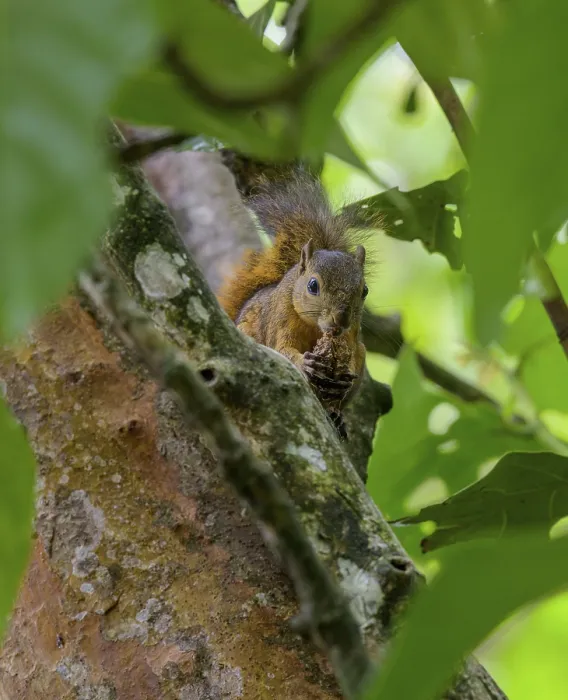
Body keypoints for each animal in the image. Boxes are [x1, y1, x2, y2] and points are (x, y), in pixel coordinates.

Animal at [218, 174, 376, 440]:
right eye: (313, 285)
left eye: (364, 291)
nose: (341, 320)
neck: (315, 327)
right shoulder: (280, 319)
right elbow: (283, 348)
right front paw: (304, 363)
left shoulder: (352, 335)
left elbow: (351, 354)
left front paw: (344, 378)